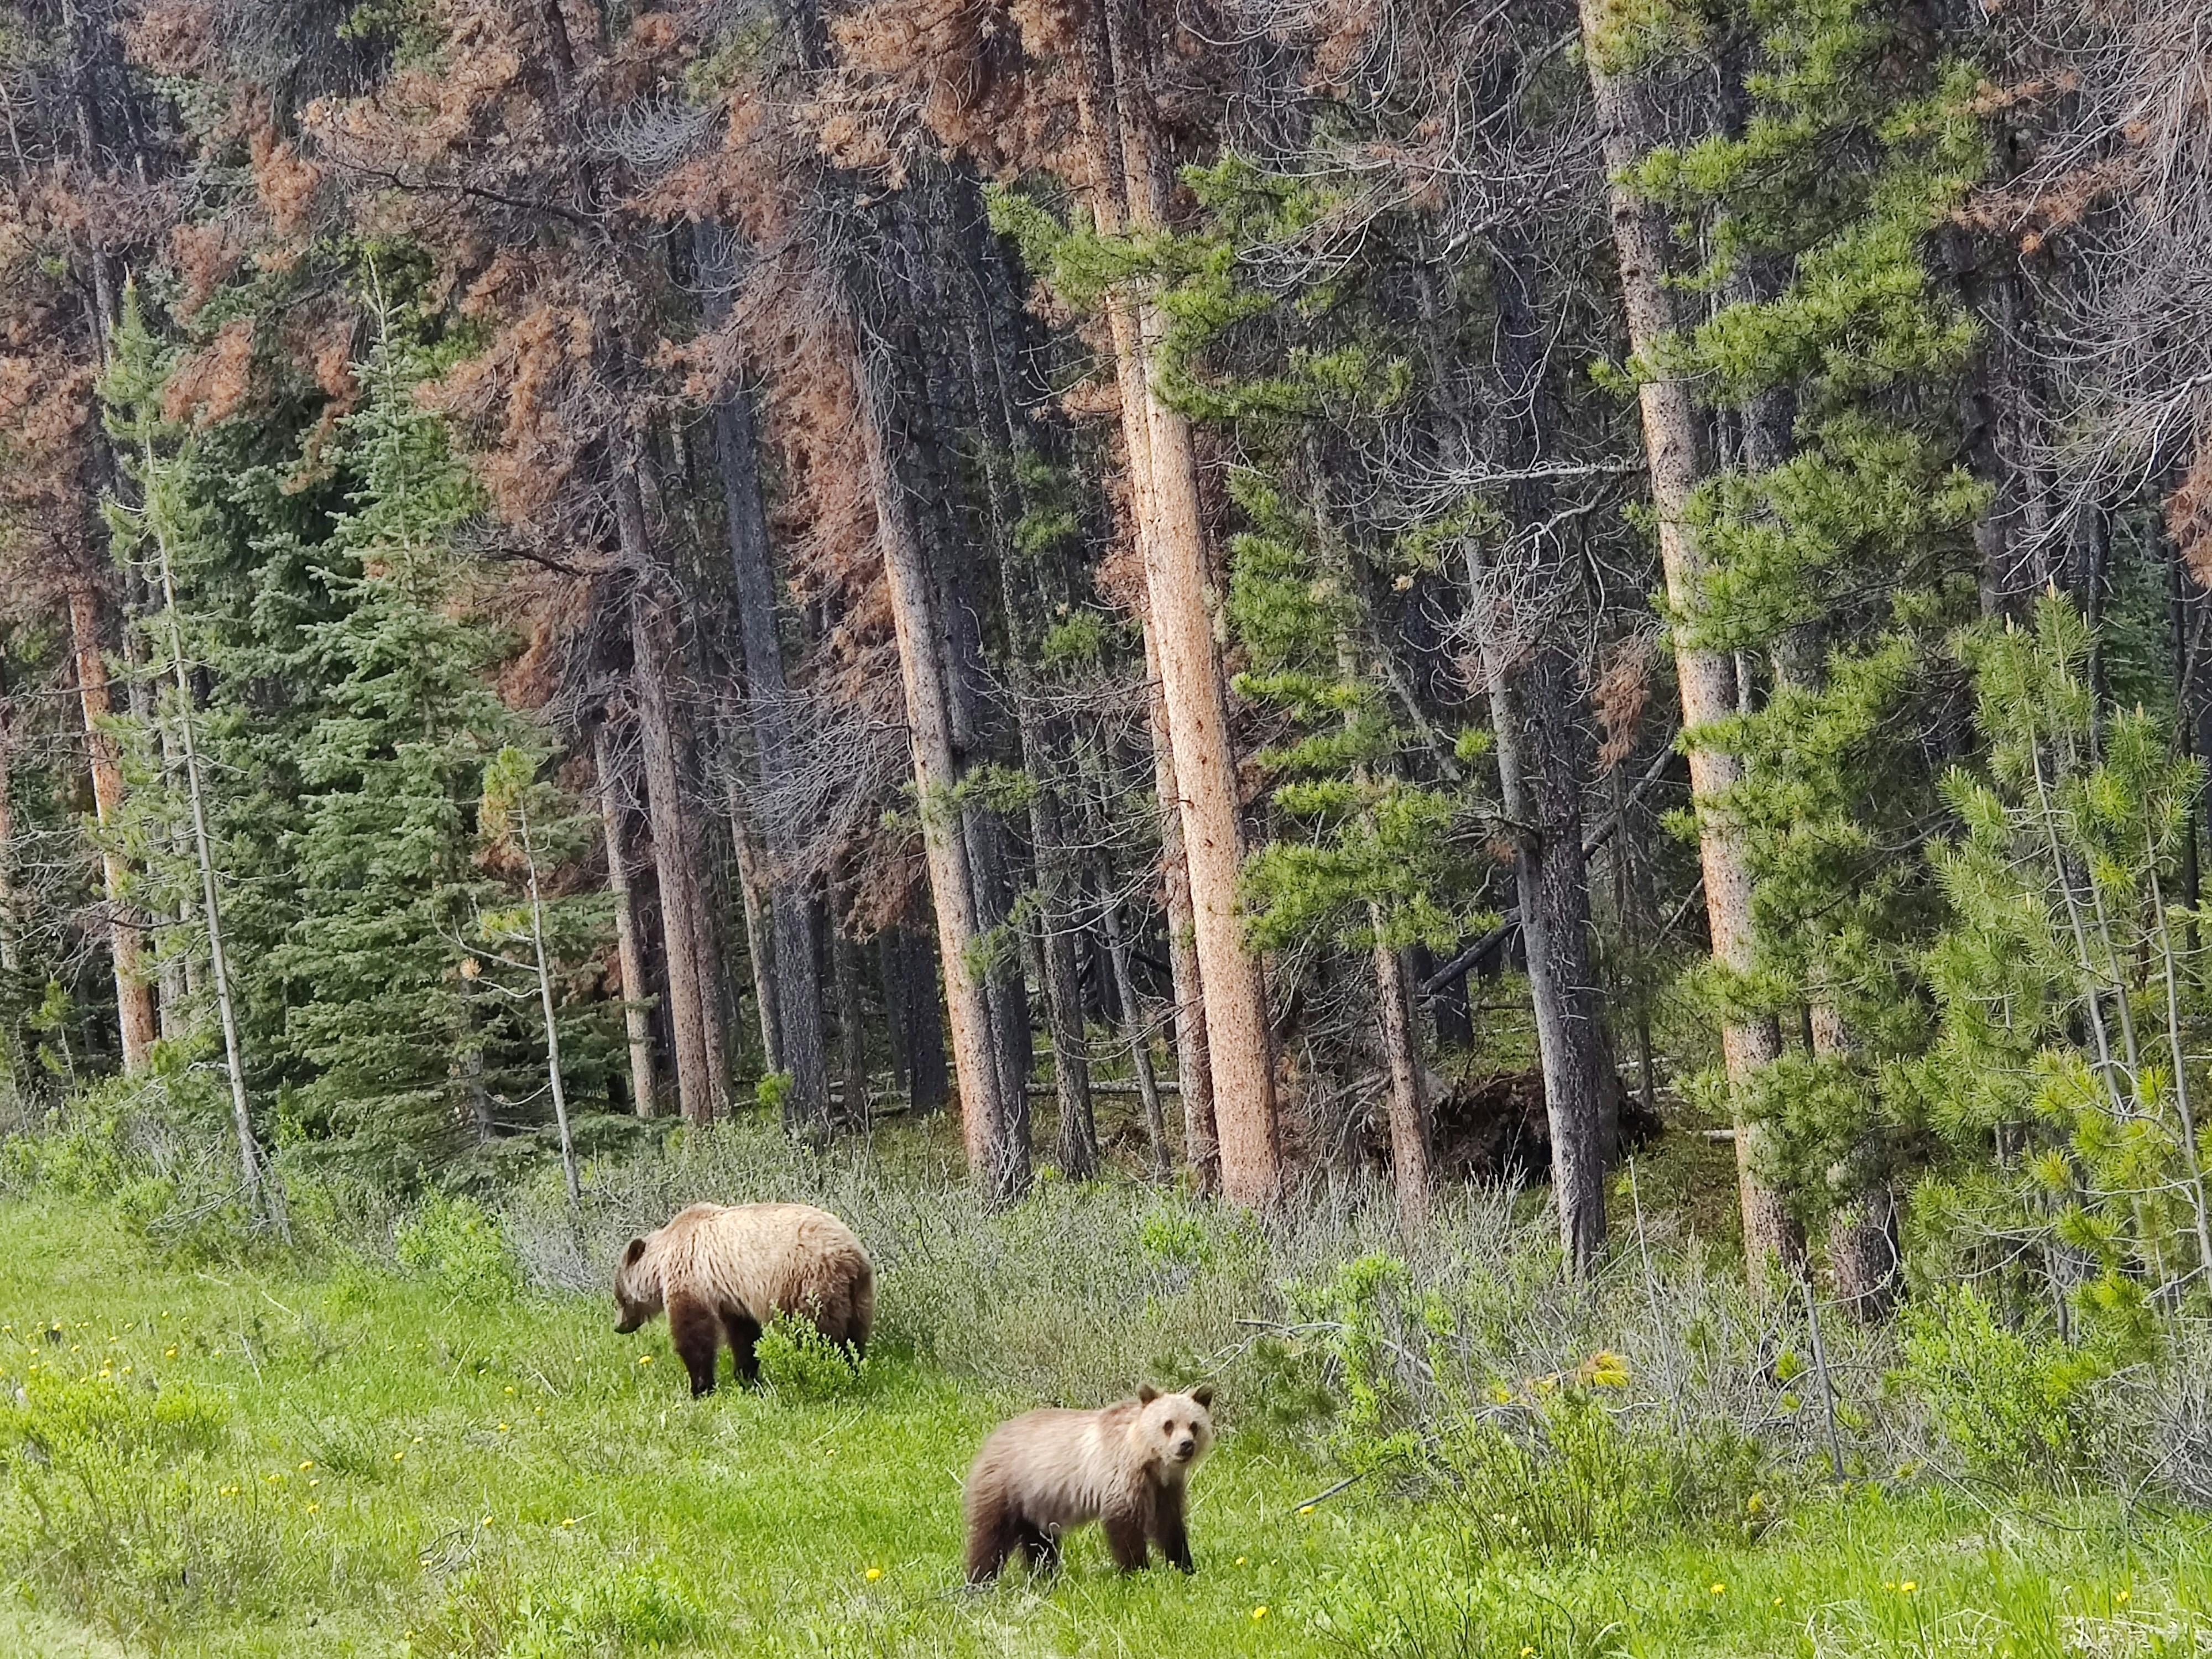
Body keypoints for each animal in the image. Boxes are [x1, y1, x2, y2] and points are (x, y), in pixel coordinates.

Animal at [612, 1202, 874, 1397]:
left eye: (619, 1296)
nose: (619, 1327)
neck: (661, 1261)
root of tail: (850, 1257)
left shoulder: (691, 1276)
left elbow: (694, 1334)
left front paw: (700, 1387)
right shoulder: (731, 1295)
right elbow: (743, 1336)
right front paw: (745, 1376)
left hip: (807, 1283)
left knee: (818, 1334)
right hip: (859, 1296)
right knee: (854, 1337)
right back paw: (853, 1370)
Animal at [964, 1383, 1216, 1583]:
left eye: (1194, 1425)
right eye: (1168, 1424)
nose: (1185, 1445)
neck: (1147, 1458)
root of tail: (993, 1437)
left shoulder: (1165, 1488)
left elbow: (1170, 1526)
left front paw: (1185, 1566)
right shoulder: (1120, 1475)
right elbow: (1125, 1528)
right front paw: (1137, 1571)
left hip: (1037, 1501)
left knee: (1039, 1542)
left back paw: (1044, 1576)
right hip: (1009, 1485)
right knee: (991, 1537)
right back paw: (980, 1581)